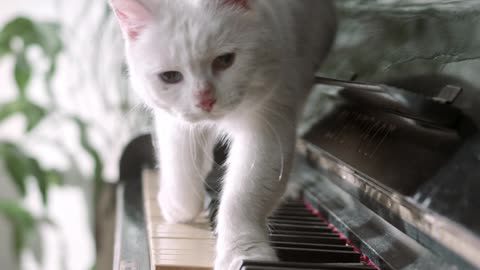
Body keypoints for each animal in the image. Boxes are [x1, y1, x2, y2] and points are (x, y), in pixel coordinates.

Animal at [109, 0, 336, 268]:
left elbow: (243, 198)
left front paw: (243, 254)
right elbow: (180, 166)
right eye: (170, 77)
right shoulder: (175, 121)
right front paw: (177, 208)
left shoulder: (268, 124)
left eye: (225, 60)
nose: (205, 100)